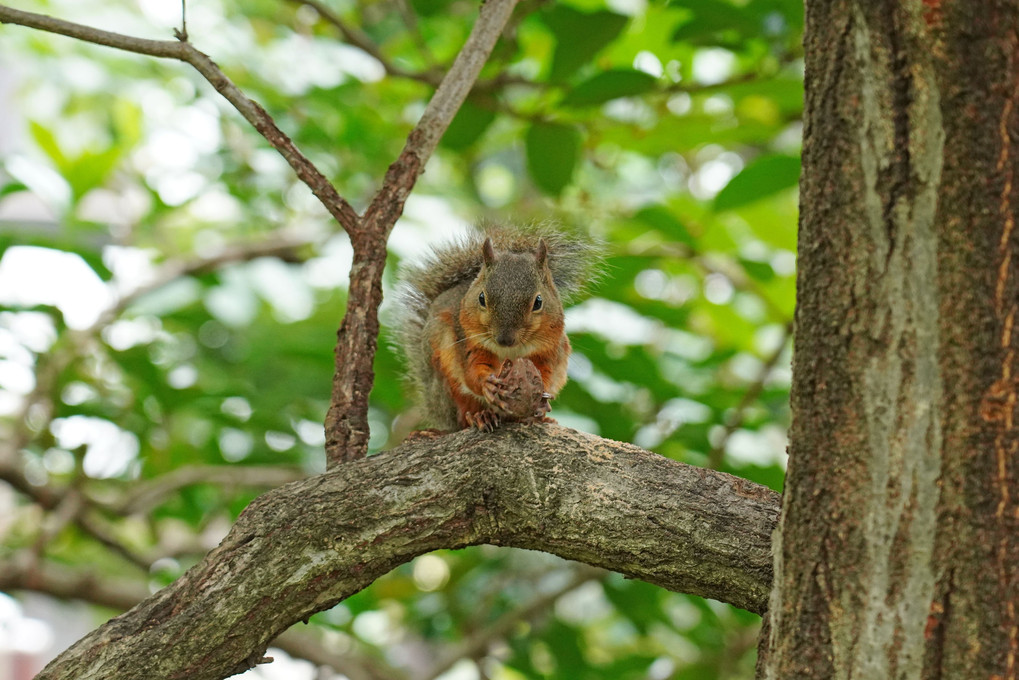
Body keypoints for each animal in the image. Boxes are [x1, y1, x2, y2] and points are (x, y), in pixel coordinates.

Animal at [391, 226, 595, 434]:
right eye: (481, 298)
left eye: (538, 302)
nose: (505, 339)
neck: (510, 350)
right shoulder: (468, 343)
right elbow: (472, 373)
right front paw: (487, 385)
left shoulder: (548, 351)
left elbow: (544, 372)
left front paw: (542, 397)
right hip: (446, 387)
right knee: (463, 411)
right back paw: (480, 416)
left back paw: (541, 418)